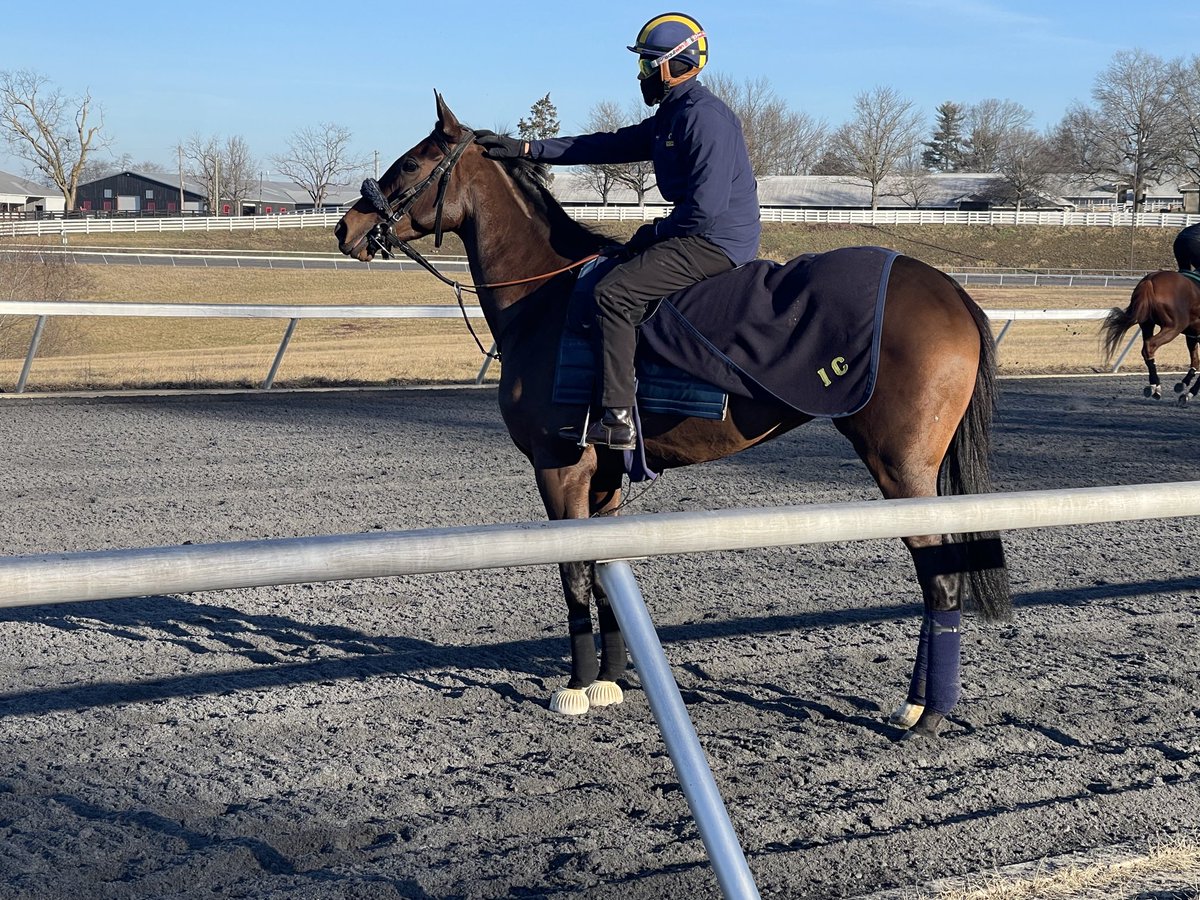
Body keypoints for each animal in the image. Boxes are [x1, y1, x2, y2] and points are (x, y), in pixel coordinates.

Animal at [333, 93, 1008, 739]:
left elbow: (574, 575)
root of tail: (948, 288)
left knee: (941, 578)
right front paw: (611, 679)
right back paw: (917, 705)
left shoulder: (560, 466)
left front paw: (577, 688)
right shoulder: (603, 476)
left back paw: (930, 714)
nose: (347, 225)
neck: (549, 298)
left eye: (409, 164)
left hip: (901, 469)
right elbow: (605, 574)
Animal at [1099, 270, 1200, 403]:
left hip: (1147, 324)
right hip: (1173, 327)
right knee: (1150, 346)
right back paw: (1156, 387)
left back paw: (1154, 386)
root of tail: (1150, 280)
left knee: (1146, 349)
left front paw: (1184, 384)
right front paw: (1189, 392)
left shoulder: (1193, 334)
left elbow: (1195, 359)